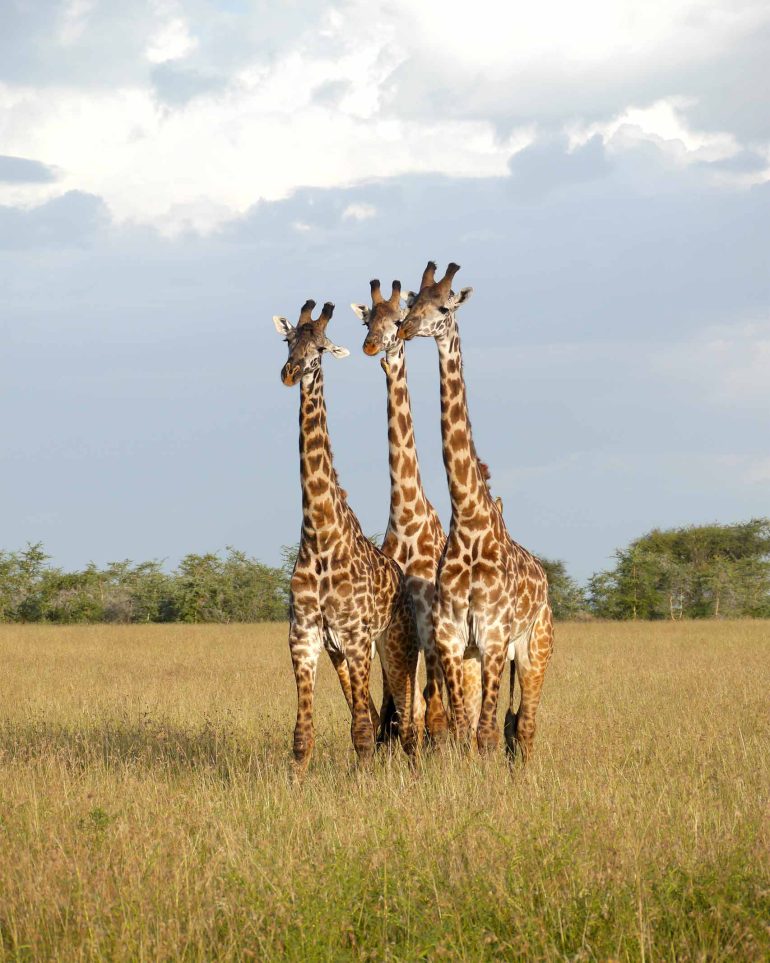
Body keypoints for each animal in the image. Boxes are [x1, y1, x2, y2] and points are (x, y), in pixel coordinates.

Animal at [273, 298, 422, 776]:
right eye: (288, 340)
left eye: (320, 347)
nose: (290, 371)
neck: (320, 535)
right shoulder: (304, 636)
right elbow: (303, 735)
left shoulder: (356, 637)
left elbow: (361, 731)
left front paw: (365, 783)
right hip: (344, 652)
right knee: (380, 715)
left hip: (393, 646)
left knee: (406, 720)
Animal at [351, 278, 482, 741]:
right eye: (368, 321)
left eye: (395, 319)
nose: (372, 346)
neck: (406, 515)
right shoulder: (390, 628)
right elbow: (395, 705)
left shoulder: (428, 626)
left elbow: (429, 706)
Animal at [398, 262, 554, 760]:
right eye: (413, 302)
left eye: (444, 308)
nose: (405, 328)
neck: (468, 521)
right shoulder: (451, 639)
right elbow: (459, 730)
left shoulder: (493, 637)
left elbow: (483, 735)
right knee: (502, 724)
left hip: (534, 648)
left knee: (525, 725)